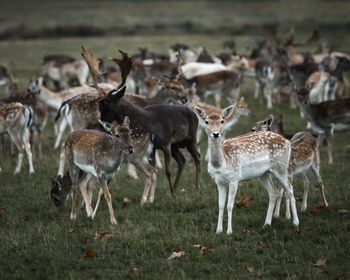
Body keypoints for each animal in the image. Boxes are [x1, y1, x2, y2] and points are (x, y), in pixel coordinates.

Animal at [194, 104, 298, 234]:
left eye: (222, 121)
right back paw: (266, 224)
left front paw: (229, 231)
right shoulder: (218, 180)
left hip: (281, 167)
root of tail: (287, 141)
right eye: (206, 121)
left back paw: (295, 222)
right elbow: (221, 205)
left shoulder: (234, 178)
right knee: (273, 192)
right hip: (263, 174)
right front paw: (218, 231)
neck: (220, 162)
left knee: (290, 189)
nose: (216, 133)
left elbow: (229, 205)